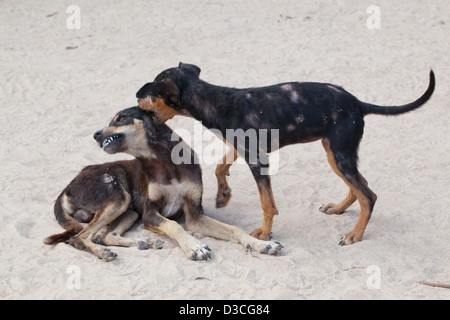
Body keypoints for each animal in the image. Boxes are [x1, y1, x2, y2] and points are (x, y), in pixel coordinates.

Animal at [44, 106, 284, 262]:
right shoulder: (151, 214)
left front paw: (263, 244)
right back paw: (102, 252)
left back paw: (145, 243)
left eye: (120, 119)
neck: (164, 161)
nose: (95, 134)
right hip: (118, 197)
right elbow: (174, 225)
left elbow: (234, 229)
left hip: (129, 210)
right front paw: (194, 246)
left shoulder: (195, 215)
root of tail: (67, 187)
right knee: (78, 238)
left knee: (103, 235)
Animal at [136, 63, 436, 245]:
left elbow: (267, 204)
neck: (216, 100)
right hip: (336, 153)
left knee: (368, 196)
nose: (136, 95)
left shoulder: (258, 161)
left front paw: (265, 233)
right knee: (360, 186)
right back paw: (339, 208)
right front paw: (223, 195)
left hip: (339, 154)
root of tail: (357, 103)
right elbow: (220, 167)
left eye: (151, 92)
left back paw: (354, 234)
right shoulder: (243, 147)